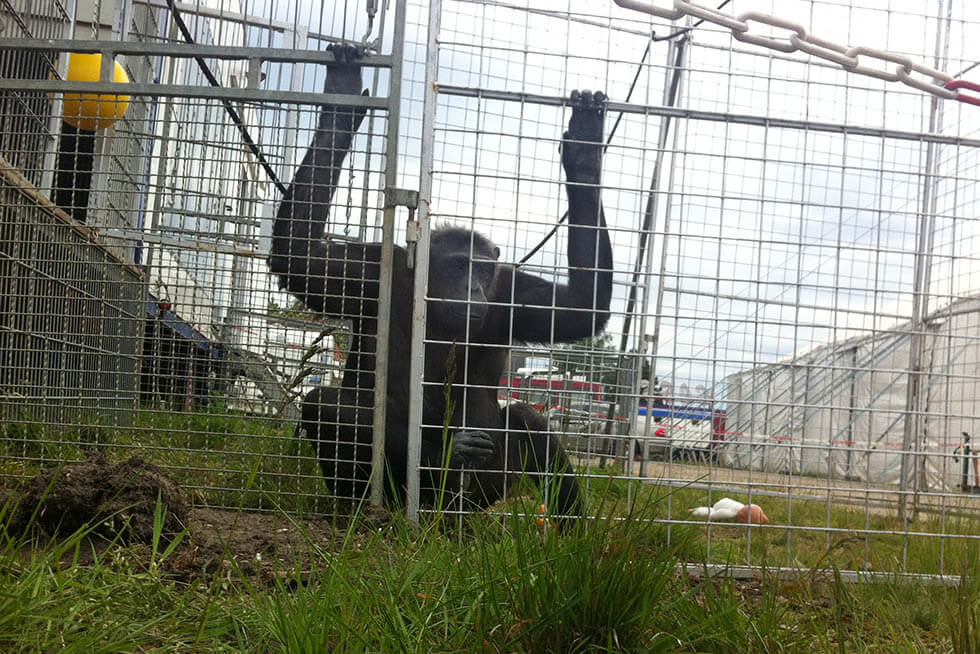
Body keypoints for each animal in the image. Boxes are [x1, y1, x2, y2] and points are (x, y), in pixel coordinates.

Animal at [268, 44, 612, 524]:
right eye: (457, 265)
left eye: (482, 270)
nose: (472, 288)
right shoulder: (370, 274)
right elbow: (301, 259)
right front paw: (341, 100)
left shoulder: (511, 295)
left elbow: (582, 304)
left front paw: (584, 153)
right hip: (405, 495)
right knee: (326, 404)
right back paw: (379, 499)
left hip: (483, 494)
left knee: (530, 419)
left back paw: (572, 533)